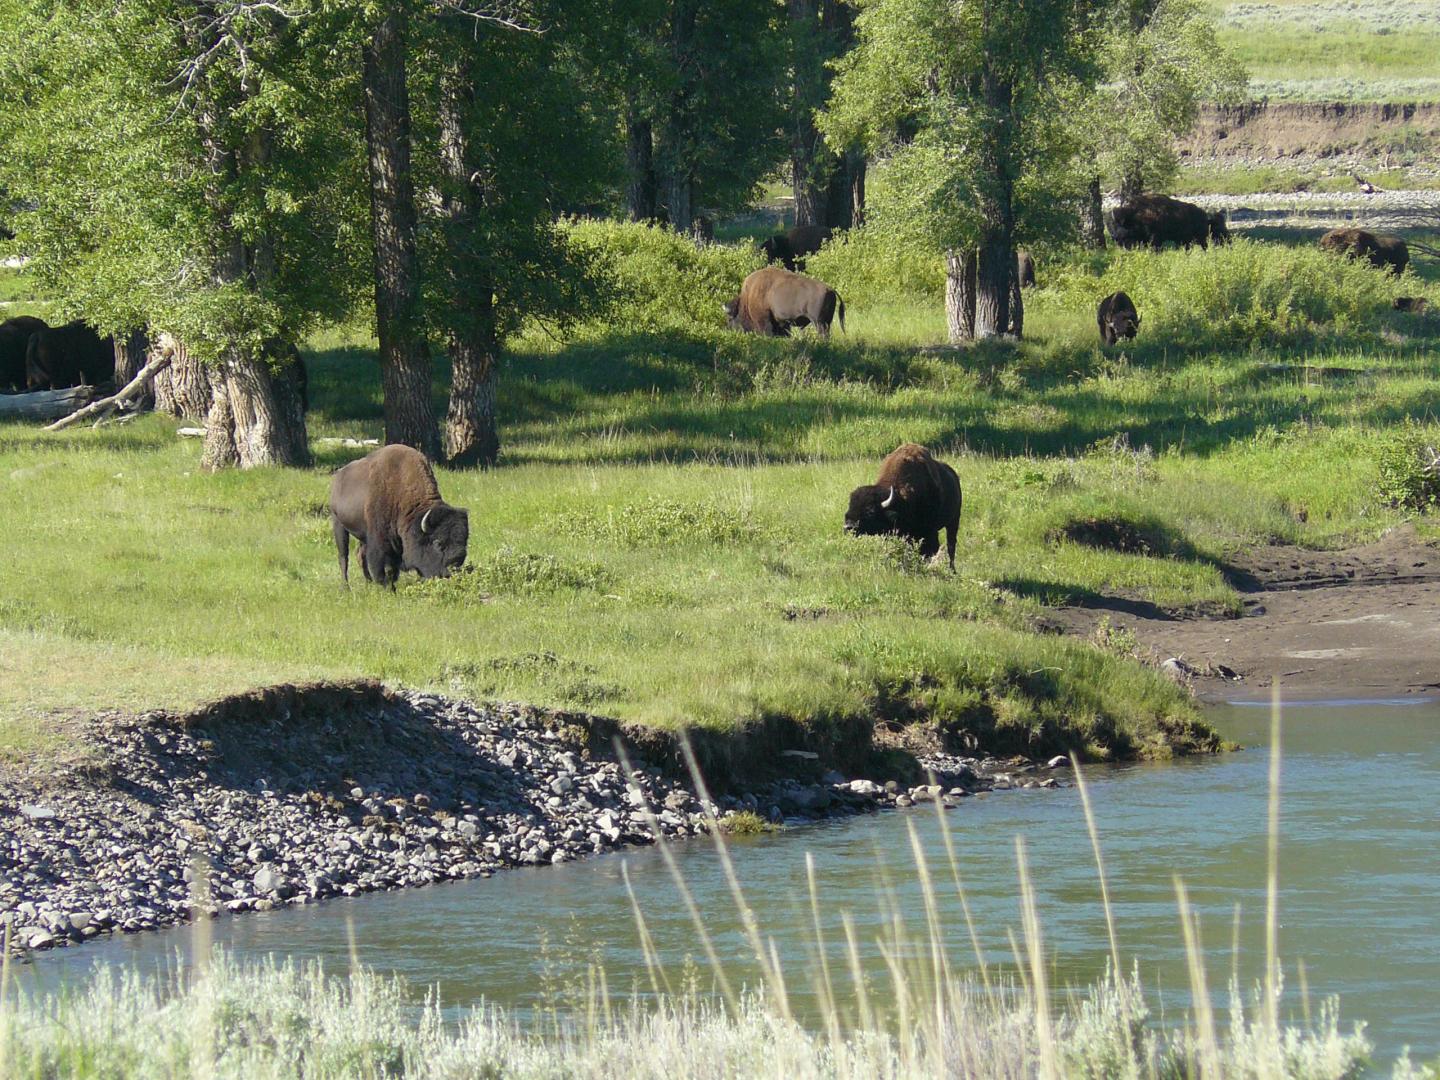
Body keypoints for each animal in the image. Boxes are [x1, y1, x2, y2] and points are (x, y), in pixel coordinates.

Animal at [329, 443, 469, 587]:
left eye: (464, 541)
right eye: (437, 543)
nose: (454, 567)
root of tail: (338, 477)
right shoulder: (379, 542)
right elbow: (383, 568)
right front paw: (386, 587)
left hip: (362, 535)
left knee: (360, 555)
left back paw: (368, 583)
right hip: (338, 524)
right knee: (344, 557)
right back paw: (346, 587)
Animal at [840, 440, 967, 570]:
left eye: (870, 511)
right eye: (850, 505)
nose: (848, 527)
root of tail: (954, 476)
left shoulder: (929, 531)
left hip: (954, 520)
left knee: (951, 545)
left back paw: (952, 570)